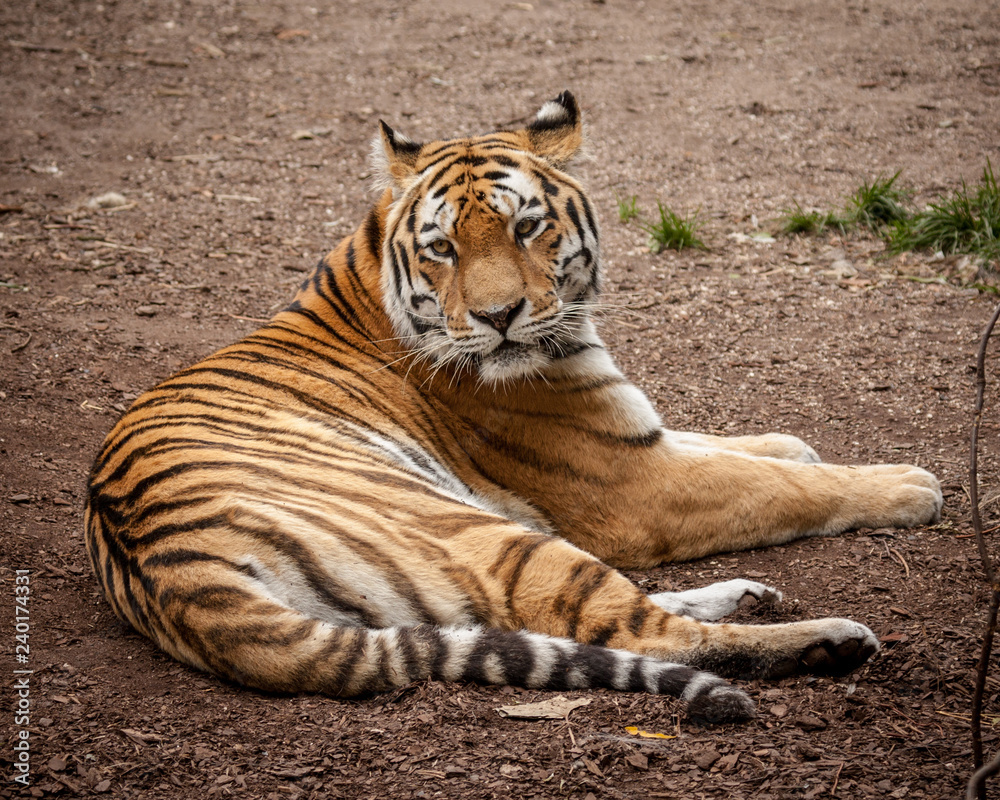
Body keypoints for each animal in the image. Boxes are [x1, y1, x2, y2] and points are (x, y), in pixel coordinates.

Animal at [85, 92, 942, 723]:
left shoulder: (632, 434)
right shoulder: (634, 486)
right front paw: (908, 484)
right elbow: (782, 488)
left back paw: (749, 594)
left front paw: (794, 442)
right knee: (639, 632)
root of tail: (174, 572)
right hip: (483, 531)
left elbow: (737, 446)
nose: (498, 316)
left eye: (527, 227)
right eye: (443, 247)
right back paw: (827, 640)